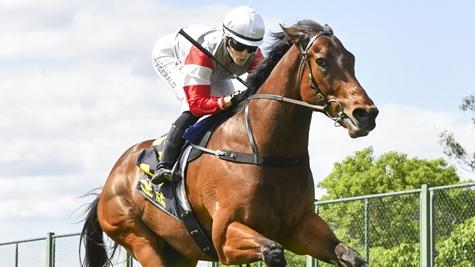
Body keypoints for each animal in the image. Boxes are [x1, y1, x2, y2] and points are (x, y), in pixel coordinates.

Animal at [81, 19, 380, 266]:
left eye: (351, 59)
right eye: (321, 61)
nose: (366, 114)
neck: (266, 151)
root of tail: (109, 183)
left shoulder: (300, 227)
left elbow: (351, 257)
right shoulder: (225, 236)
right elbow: (273, 252)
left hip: (180, 251)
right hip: (138, 239)